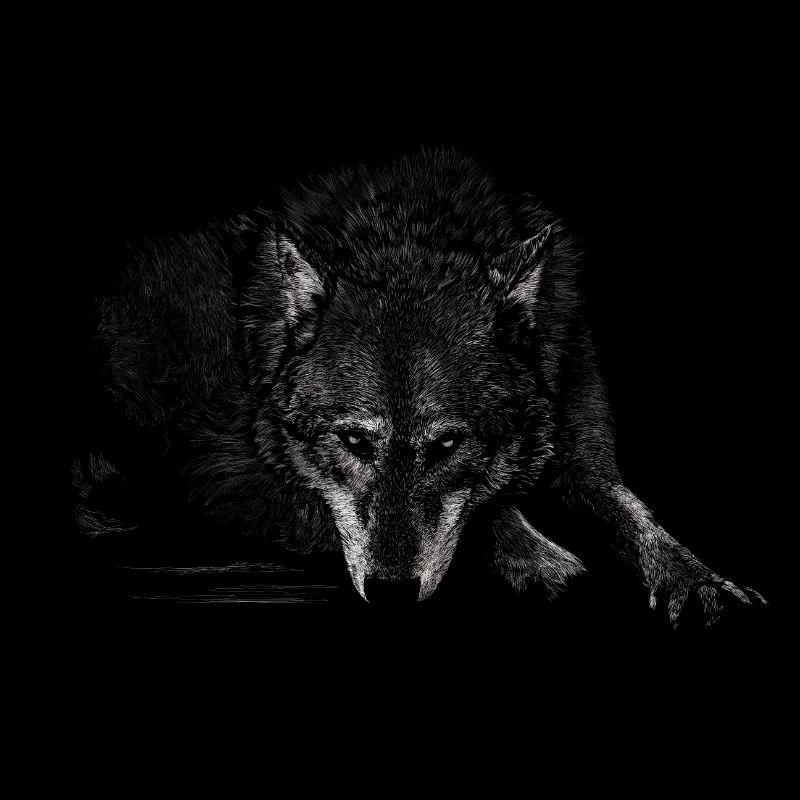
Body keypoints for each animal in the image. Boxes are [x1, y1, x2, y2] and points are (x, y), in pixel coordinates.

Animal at [74, 148, 765, 623]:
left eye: (447, 446)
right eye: (354, 442)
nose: (390, 593)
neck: (409, 234)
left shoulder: (585, 460)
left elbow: (636, 516)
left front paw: (699, 580)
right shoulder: (225, 473)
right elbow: (492, 511)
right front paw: (544, 560)